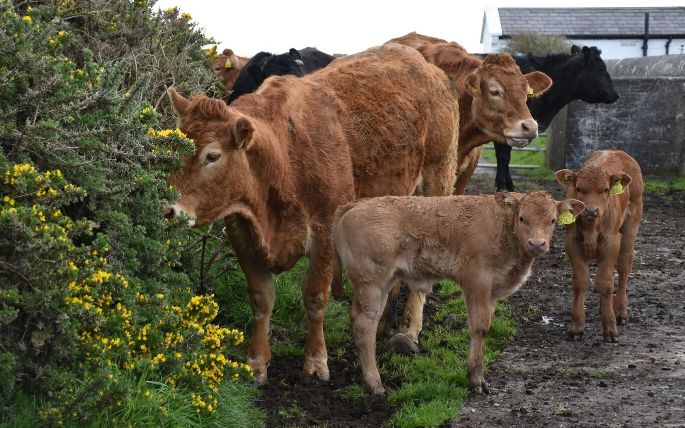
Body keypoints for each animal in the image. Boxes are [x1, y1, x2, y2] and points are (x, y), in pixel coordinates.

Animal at [163, 43, 456, 384]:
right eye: (174, 144)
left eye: (212, 155)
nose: (167, 207)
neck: (283, 157)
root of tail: (425, 64)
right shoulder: (242, 233)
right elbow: (261, 298)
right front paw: (257, 362)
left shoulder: (325, 234)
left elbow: (315, 297)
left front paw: (316, 361)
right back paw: (382, 324)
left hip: (438, 178)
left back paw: (408, 331)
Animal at [332, 191, 584, 394]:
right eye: (522, 218)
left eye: (552, 220)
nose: (537, 244)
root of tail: (356, 204)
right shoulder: (477, 280)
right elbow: (479, 326)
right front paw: (476, 380)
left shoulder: (492, 290)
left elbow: (486, 325)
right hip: (372, 282)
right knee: (365, 323)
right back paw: (375, 384)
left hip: (383, 282)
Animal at [492, 46, 620, 191]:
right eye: (602, 68)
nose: (616, 94)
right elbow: (503, 156)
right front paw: (502, 186)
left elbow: (506, 156)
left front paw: (510, 186)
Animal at [552, 149, 644, 342]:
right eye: (579, 188)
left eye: (606, 189)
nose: (592, 210)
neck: (591, 227)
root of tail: (614, 150)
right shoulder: (572, 242)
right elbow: (581, 281)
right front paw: (577, 326)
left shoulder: (611, 241)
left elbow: (605, 282)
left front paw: (610, 327)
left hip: (631, 224)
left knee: (624, 266)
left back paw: (620, 310)